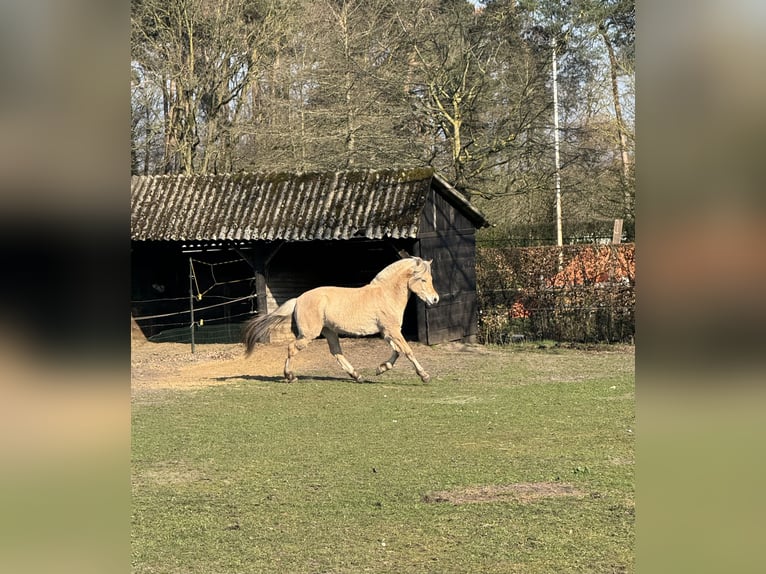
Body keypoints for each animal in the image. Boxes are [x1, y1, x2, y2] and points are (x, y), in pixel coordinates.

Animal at [242, 257, 439, 383]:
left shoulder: (387, 332)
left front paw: (380, 368)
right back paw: (290, 376)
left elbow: (397, 352)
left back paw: (357, 376)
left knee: (337, 352)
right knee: (292, 348)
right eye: (422, 279)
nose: (435, 299)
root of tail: (298, 299)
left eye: (430, 279)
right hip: (309, 334)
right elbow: (407, 351)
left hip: (329, 332)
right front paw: (424, 376)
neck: (385, 294)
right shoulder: (393, 331)